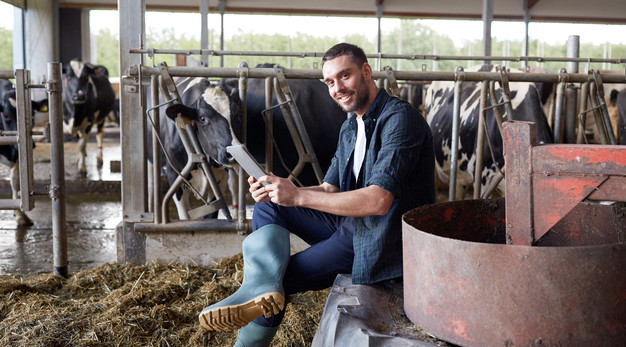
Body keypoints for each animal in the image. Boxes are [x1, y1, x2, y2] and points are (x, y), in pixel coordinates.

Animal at [0, 79, 48, 226]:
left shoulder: (18, 152)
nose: (32, 144)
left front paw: (21, 215)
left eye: (32, 114)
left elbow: (16, 181)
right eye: (6, 115)